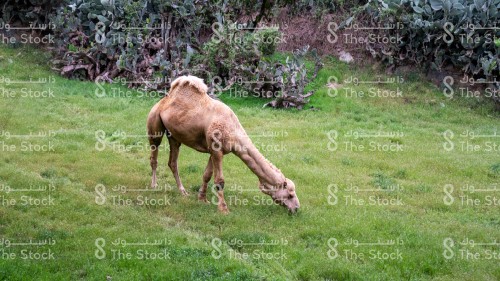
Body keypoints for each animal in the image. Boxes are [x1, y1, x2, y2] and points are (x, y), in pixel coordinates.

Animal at [146, 74, 298, 212]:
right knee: (154, 156)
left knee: (173, 162)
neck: (233, 131)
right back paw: (153, 185)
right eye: (290, 194)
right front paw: (223, 209)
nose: (296, 208)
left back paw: (182, 191)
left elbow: (207, 175)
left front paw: (202, 199)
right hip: (155, 126)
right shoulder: (216, 149)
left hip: (174, 136)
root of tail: (164, 100)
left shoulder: (215, 150)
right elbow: (220, 181)